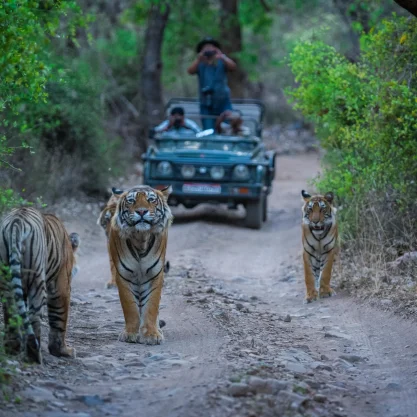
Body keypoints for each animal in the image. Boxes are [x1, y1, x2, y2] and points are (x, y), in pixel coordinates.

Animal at [0, 206, 79, 362]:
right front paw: (62, 351)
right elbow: (59, 318)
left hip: (6, 279)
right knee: (34, 317)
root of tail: (16, 222)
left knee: (11, 312)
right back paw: (34, 355)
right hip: (37, 280)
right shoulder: (60, 286)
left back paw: (13, 348)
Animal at [109, 185, 172, 344]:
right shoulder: (123, 276)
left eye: (151, 200)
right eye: (131, 201)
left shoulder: (155, 275)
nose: (142, 211)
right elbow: (130, 306)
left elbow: (151, 306)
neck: (140, 238)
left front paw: (151, 334)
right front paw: (130, 333)